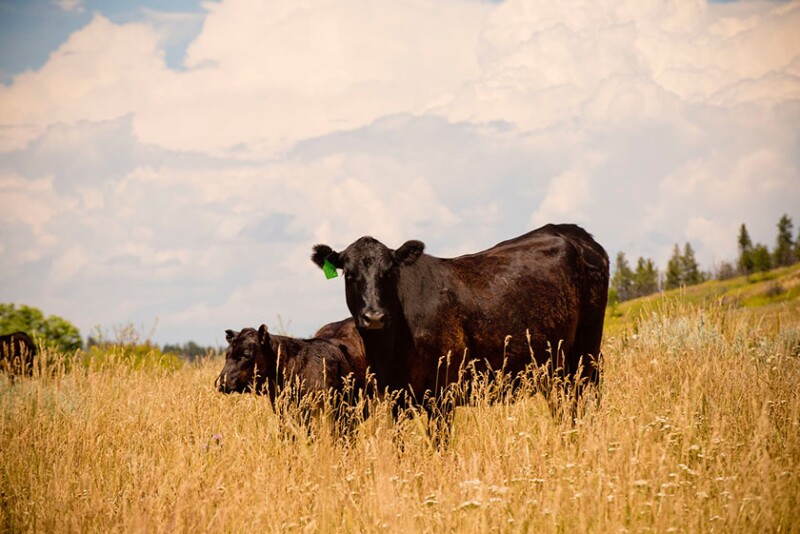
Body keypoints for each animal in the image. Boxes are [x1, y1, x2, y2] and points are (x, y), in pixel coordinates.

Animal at [311, 224, 609, 440]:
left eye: (389, 272)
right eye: (350, 274)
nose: (374, 316)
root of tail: (571, 231)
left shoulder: (443, 393)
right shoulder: (396, 397)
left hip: (585, 353)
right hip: (555, 368)